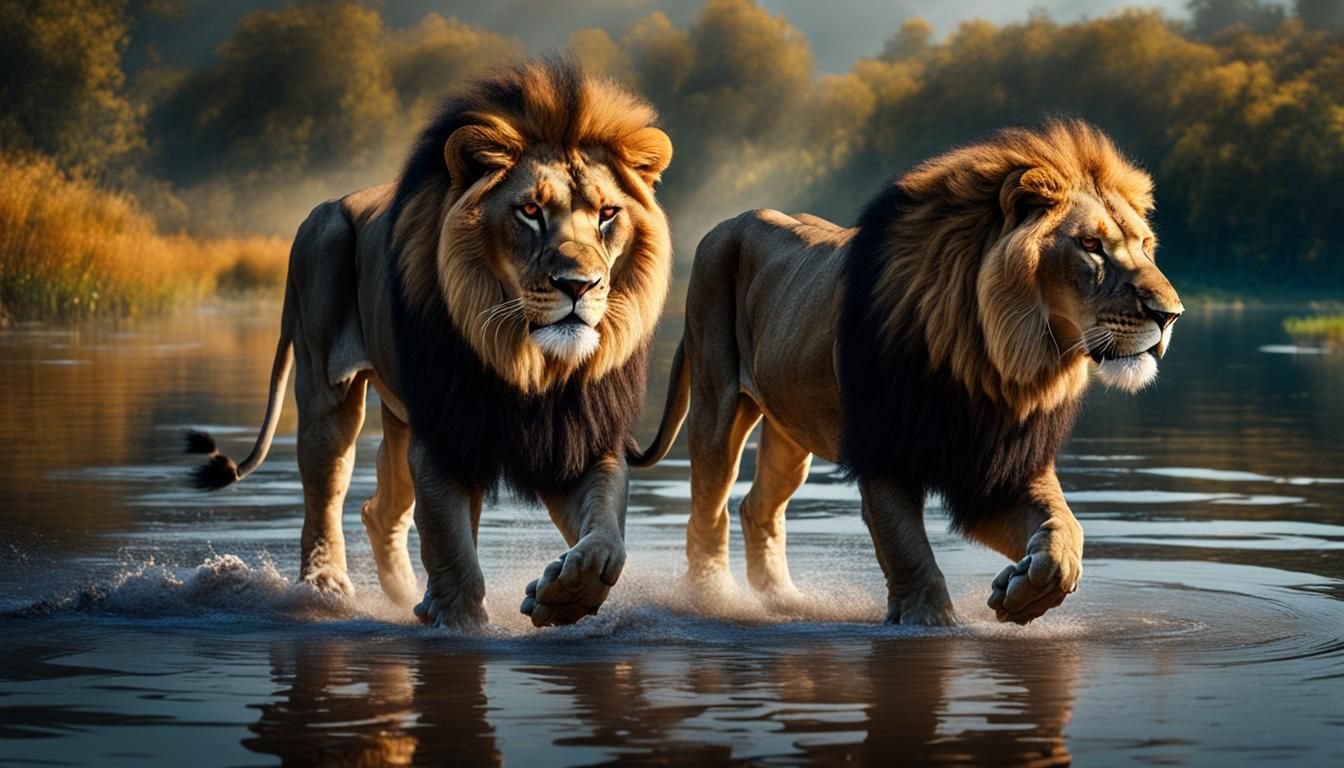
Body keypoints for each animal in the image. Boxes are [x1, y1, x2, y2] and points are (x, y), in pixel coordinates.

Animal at [184, 60, 674, 629]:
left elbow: (606, 541)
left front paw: (560, 596)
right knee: (325, 492)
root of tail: (323, 208)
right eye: (530, 210)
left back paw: (400, 597)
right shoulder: (444, 435)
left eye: (607, 214)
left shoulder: (579, 438)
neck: (528, 361)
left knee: (381, 510)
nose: (579, 285)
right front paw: (460, 623)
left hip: (401, 417)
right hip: (328, 382)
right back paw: (325, 588)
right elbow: (451, 544)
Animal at [632, 120, 1182, 625]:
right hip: (717, 403)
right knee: (708, 511)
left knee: (757, 508)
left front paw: (1023, 590)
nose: (1170, 314)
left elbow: (1067, 531)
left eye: (1145, 244)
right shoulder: (884, 451)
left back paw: (785, 601)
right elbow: (907, 549)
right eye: (1089, 244)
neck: (993, 359)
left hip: (792, 430)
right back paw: (711, 599)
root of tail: (728, 221)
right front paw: (929, 621)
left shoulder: (1001, 465)